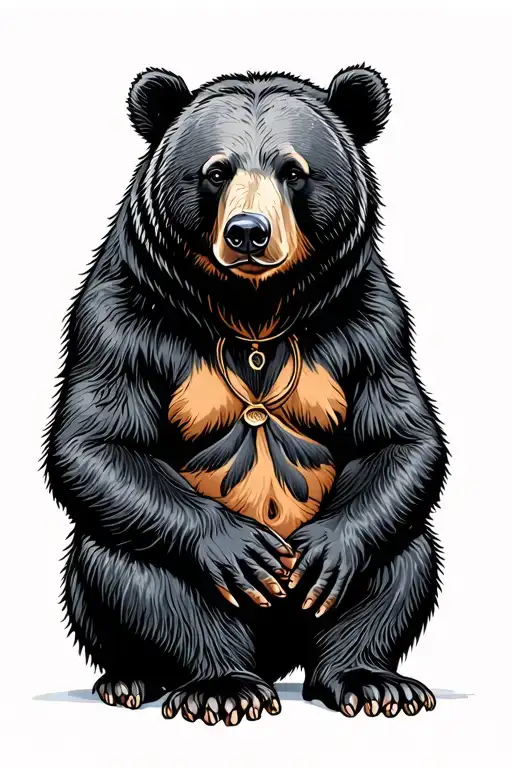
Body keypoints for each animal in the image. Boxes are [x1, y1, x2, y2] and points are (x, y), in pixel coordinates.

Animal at [43, 65, 448, 724]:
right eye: (216, 170)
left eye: (294, 170)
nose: (249, 233)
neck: (254, 309)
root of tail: (276, 660)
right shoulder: (123, 311)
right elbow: (97, 442)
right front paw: (239, 547)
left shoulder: (366, 318)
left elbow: (399, 435)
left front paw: (323, 553)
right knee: (129, 564)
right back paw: (201, 683)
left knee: (403, 554)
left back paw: (369, 681)